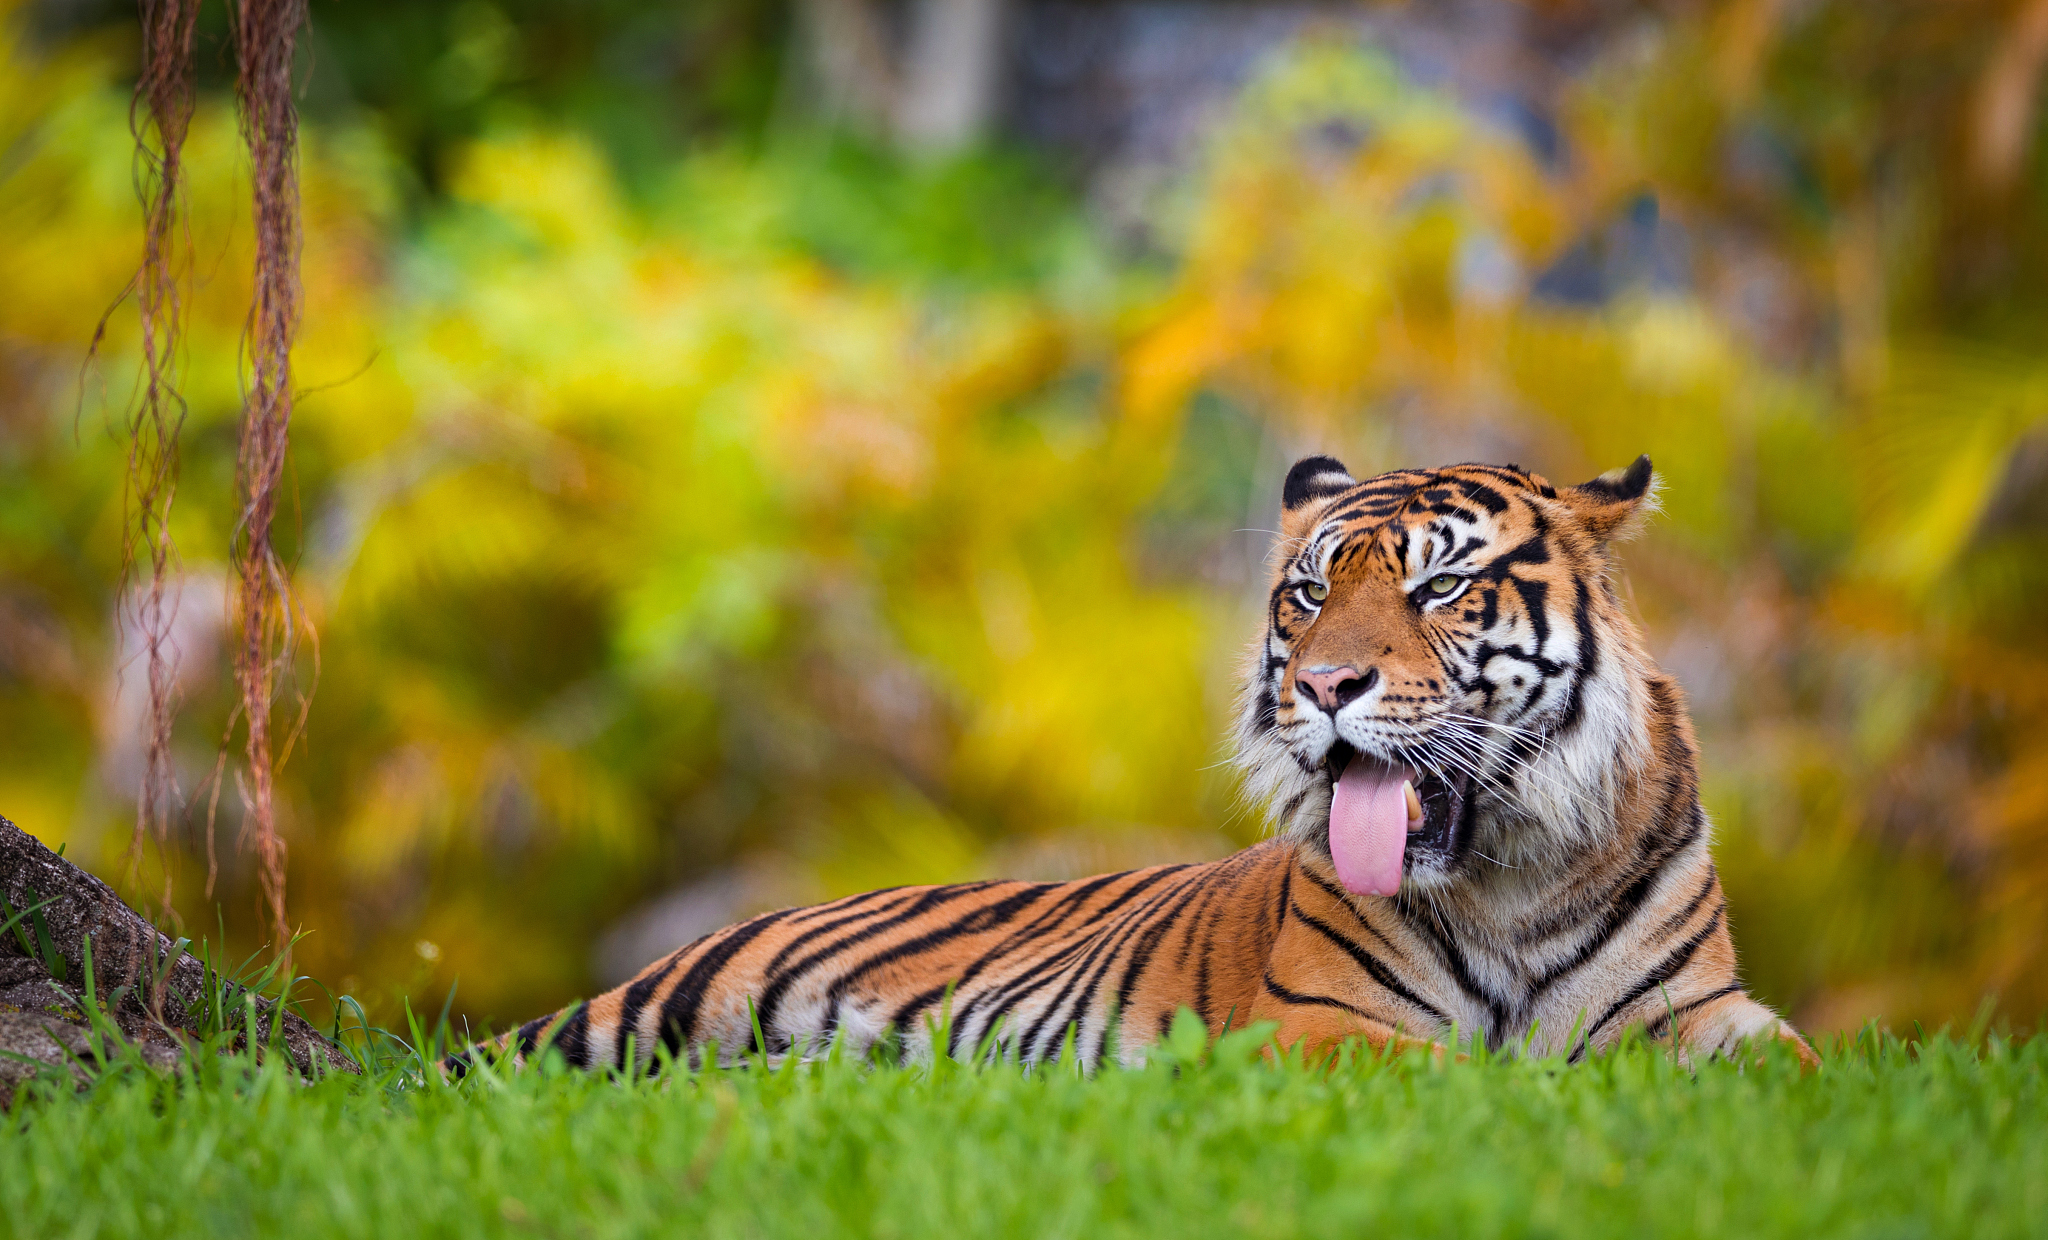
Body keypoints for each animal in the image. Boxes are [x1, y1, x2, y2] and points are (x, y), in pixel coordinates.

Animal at [455, 455, 1816, 1075]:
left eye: (1437, 588)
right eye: (1310, 592)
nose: (1324, 685)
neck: (1510, 874)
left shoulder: (1703, 1014)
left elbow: (1794, 1064)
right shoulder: (1318, 1026)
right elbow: (1455, 1071)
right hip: (658, 1008)